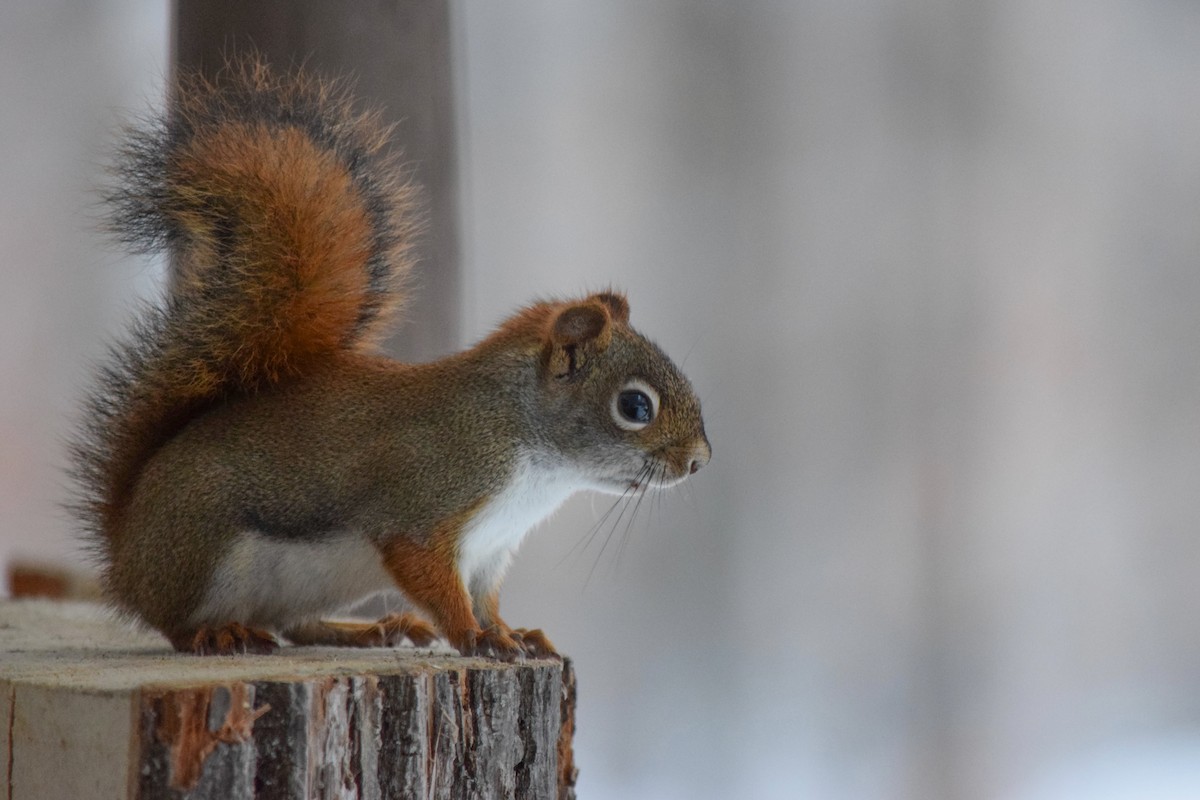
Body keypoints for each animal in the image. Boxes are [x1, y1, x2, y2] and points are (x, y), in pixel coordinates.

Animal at [71, 59, 710, 660]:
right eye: (635, 406)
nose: (699, 462)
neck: (528, 445)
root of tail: (125, 550)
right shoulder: (427, 502)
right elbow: (435, 580)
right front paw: (476, 638)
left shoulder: (491, 549)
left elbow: (486, 598)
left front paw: (513, 632)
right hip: (203, 553)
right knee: (177, 623)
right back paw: (218, 633)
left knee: (294, 626)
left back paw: (369, 628)